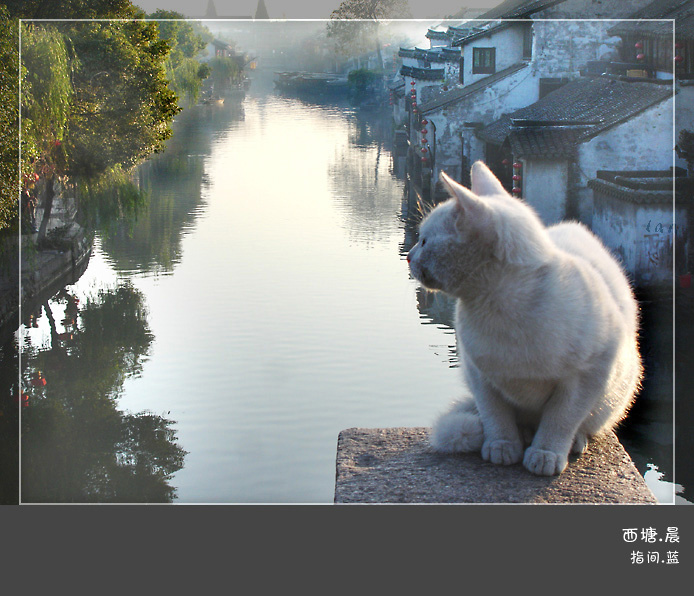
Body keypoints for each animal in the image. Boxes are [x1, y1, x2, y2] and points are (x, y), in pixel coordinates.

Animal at [410, 162, 644, 474]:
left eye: (424, 241)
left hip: (616, 392)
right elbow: (495, 413)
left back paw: (572, 440)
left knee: (586, 422)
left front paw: (547, 452)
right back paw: (521, 434)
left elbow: (562, 417)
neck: (500, 307)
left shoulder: (589, 373)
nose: (410, 256)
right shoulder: (478, 373)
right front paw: (502, 444)